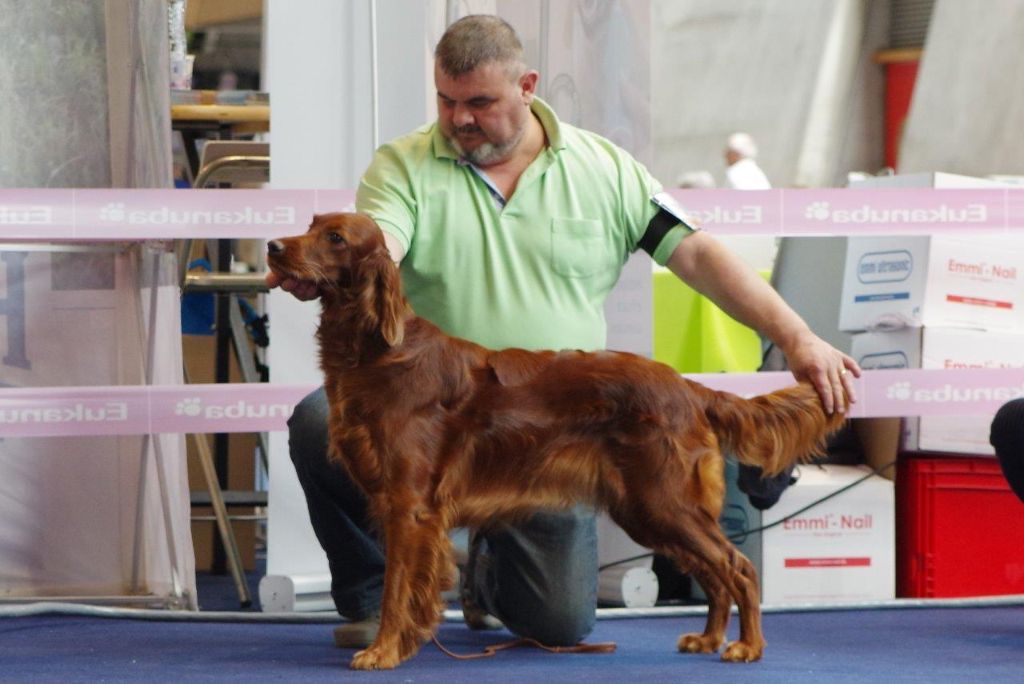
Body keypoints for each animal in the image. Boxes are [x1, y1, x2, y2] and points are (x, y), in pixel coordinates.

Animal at [268, 211, 843, 667]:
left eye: (336, 237)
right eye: (311, 224)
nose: (273, 246)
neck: (379, 353)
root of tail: (687, 386)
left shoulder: (409, 505)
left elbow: (397, 590)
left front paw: (384, 651)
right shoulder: (398, 502)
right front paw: (400, 643)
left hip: (663, 500)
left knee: (736, 566)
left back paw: (747, 646)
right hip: (649, 508)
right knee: (714, 570)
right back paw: (707, 639)